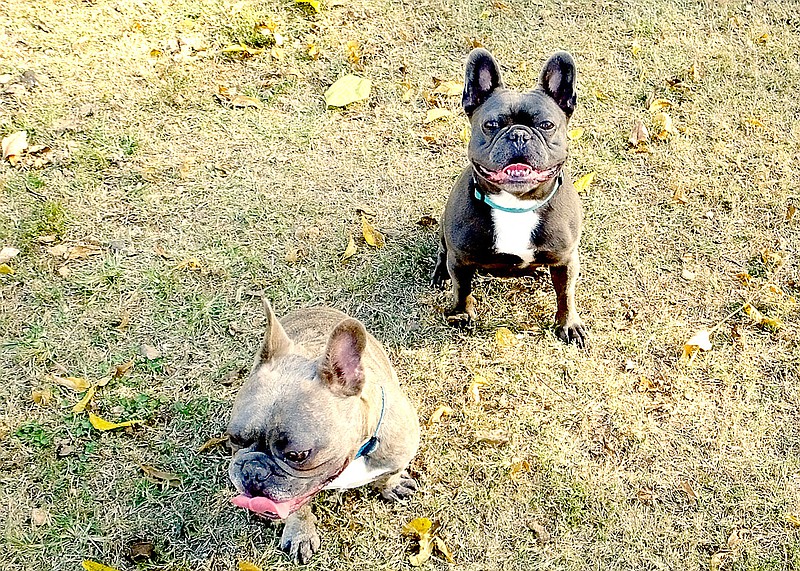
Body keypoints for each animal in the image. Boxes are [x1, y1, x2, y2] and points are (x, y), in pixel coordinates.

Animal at [228, 304, 422, 564]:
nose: (253, 470)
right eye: (234, 438)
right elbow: (299, 507)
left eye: (298, 455)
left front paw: (391, 485)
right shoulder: (296, 491)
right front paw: (300, 534)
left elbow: (390, 473)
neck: (355, 455)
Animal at [434, 48, 592, 348]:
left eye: (546, 125)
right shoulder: (460, 259)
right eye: (491, 124)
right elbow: (463, 289)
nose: (519, 134)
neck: (516, 205)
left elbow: (565, 294)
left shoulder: (566, 259)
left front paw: (568, 325)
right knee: (442, 251)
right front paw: (461, 315)